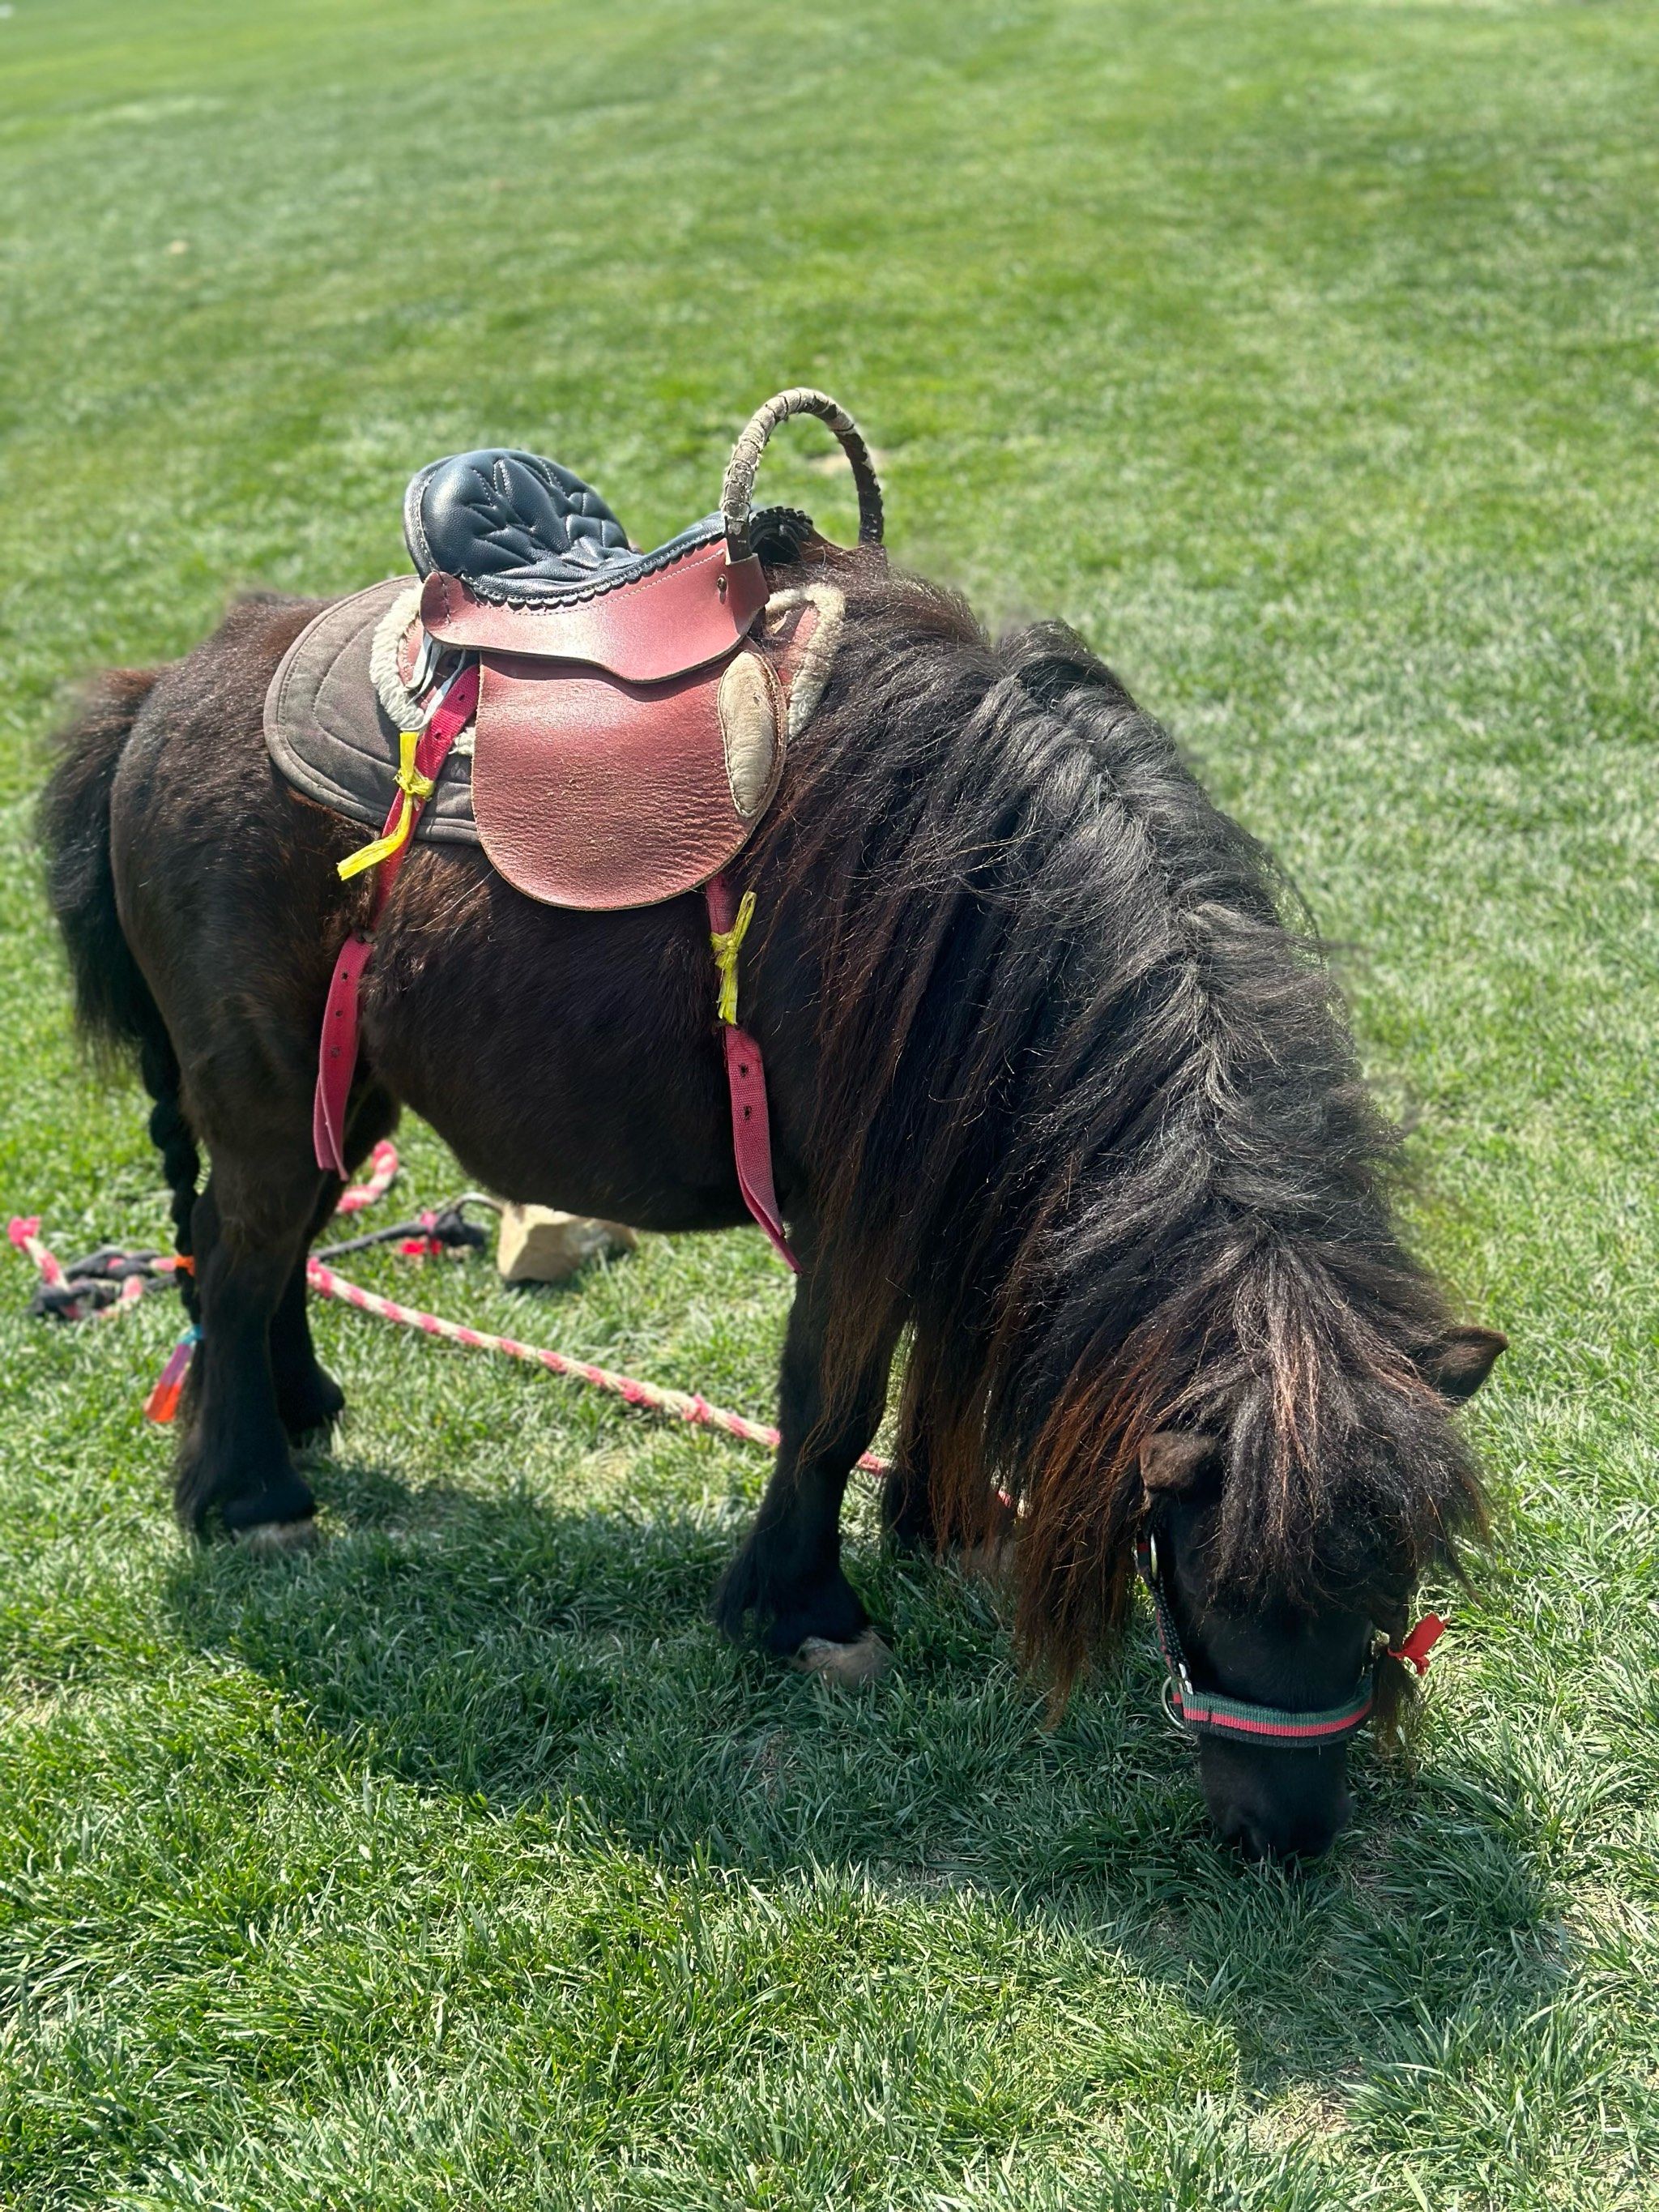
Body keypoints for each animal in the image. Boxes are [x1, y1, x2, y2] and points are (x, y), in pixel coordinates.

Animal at [40, 542, 1504, 1862]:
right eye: (1211, 1571)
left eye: (1393, 1579)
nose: (1289, 1839)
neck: (978, 896)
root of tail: (171, 684)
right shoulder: (855, 1205)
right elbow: (830, 1402)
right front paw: (804, 1611)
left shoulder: (950, 1186)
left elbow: (942, 1370)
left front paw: (947, 1528)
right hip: (265, 1085)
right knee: (237, 1258)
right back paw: (250, 1492)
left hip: (347, 1092)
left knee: (269, 1253)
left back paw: (300, 1407)